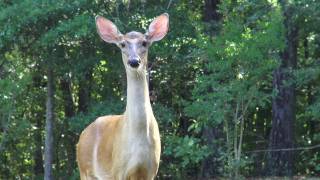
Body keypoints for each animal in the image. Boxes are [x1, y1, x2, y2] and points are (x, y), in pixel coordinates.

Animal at [76, 13, 170, 179]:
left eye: (144, 43)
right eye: (122, 44)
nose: (134, 61)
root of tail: (82, 136)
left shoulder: (151, 169)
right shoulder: (118, 169)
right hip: (85, 169)